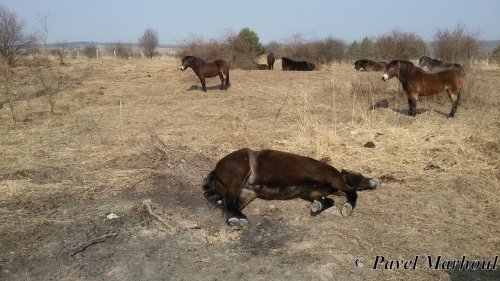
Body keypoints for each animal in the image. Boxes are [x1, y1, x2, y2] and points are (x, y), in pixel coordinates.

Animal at [201, 148, 380, 226]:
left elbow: (328, 201)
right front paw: (347, 206)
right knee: (229, 201)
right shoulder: (333, 178)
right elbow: (351, 192)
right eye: (359, 173)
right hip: (238, 176)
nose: (375, 182)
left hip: (247, 193)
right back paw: (238, 219)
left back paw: (237, 218)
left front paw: (317, 206)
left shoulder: (310, 193)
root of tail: (216, 169)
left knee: (230, 204)